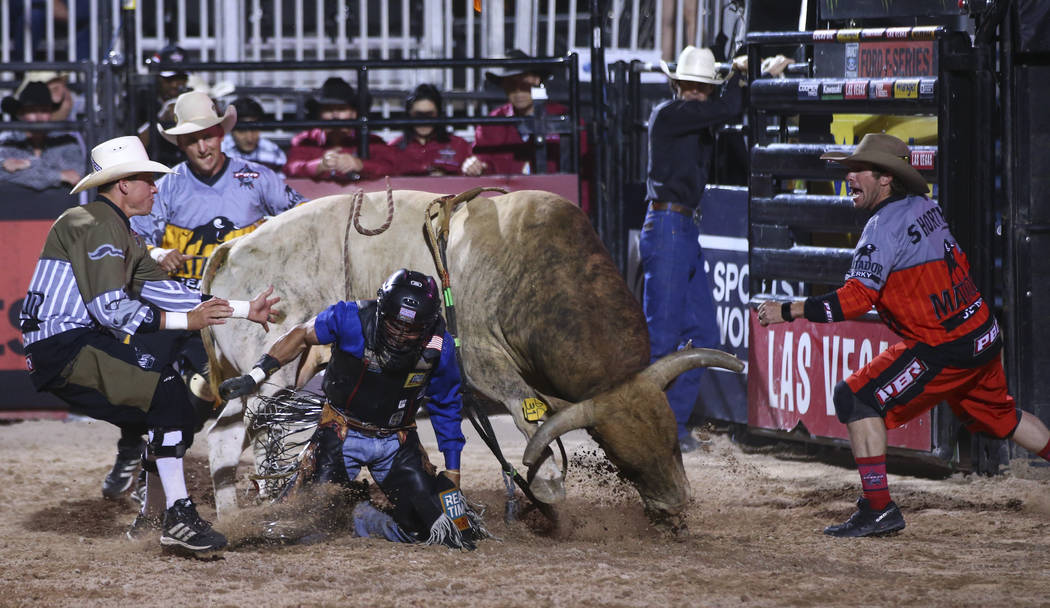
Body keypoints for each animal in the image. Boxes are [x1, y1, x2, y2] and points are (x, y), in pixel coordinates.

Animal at [202, 189, 747, 527]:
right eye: (625, 464)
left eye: (674, 447)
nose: (675, 506)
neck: (538, 274)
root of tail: (231, 249)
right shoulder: (481, 361)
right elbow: (526, 407)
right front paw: (548, 482)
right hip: (277, 370)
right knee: (266, 424)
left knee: (227, 436)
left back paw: (230, 514)